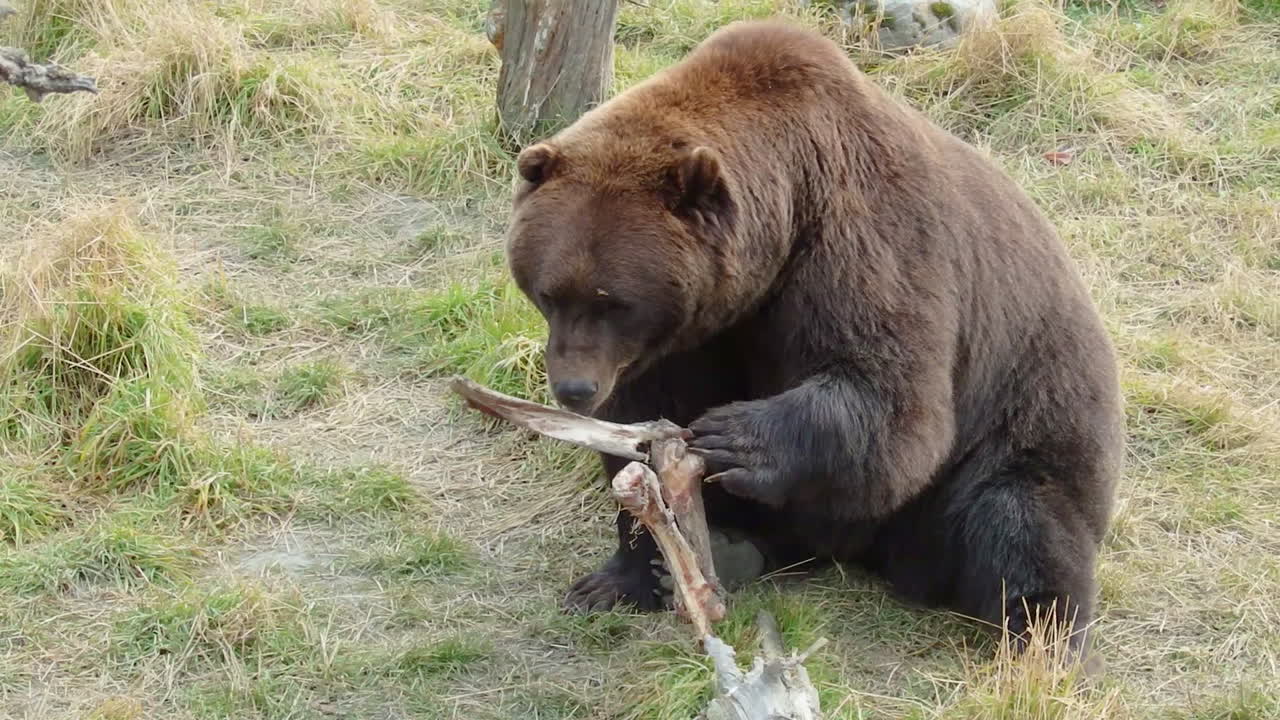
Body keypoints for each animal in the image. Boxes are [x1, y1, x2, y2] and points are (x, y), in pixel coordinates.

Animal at [503, 18, 1124, 656]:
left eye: (614, 302)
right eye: (550, 293)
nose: (574, 388)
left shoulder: (863, 243)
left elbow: (894, 402)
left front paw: (731, 436)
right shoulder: (691, 337)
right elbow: (641, 433)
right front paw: (621, 573)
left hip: (1030, 419)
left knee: (1021, 522)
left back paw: (1041, 639)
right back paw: (728, 551)